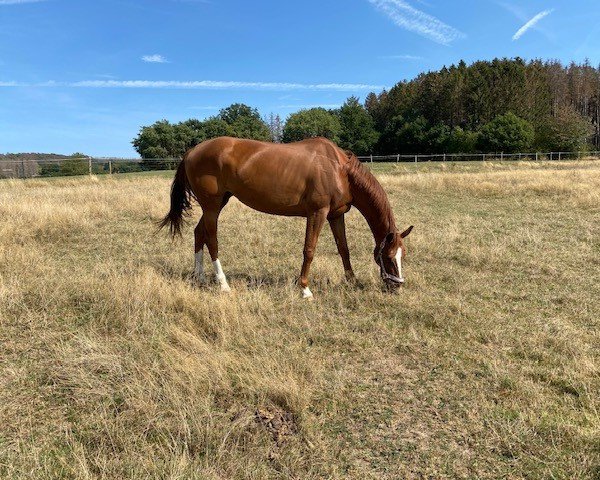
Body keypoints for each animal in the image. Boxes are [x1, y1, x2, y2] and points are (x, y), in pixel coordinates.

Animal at [159, 137, 412, 298]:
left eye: (403, 255)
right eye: (388, 257)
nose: (397, 288)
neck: (339, 169)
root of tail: (192, 151)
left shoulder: (336, 215)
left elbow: (344, 249)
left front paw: (352, 281)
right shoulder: (317, 213)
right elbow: (309, 250)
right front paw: (305, 289)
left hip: (217, 203)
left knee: (198, 232)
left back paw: (200, 277)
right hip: (212, 206)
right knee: (211, 239)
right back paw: (223, 284)